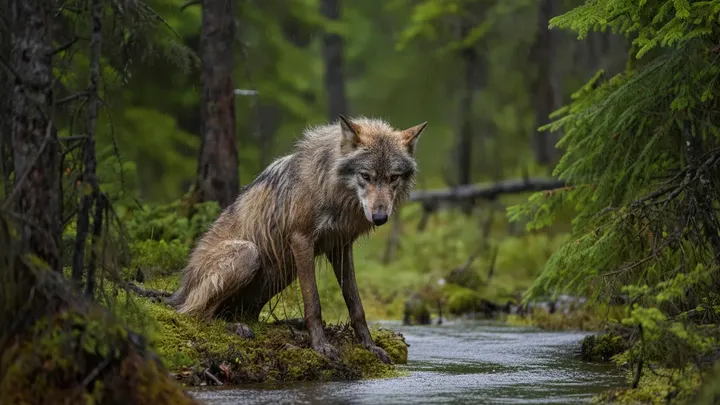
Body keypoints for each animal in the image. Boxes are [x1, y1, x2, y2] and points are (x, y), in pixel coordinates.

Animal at [167, 115, 427, 363]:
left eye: (393, 177)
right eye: (366, 176)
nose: (380, 217)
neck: (332, 191)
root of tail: (181, 287)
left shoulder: (341, 246)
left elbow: (355, 303)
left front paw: (370, 347)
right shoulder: (302, 240)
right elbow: (313, 302)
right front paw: (321, 346)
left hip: (282, 272)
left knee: (248, 315)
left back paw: (284, 325)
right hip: (250, 253)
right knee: (191, 313)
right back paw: (237, 328)